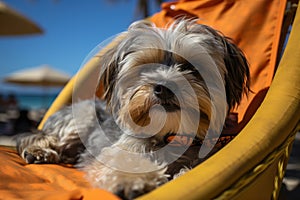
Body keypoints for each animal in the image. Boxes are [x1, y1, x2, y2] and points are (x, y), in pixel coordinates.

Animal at [14, 19, 248, 200]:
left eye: (191, 67)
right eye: (146, 68)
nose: (164, 87)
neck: (169, 135)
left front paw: (182, 174)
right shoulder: (120, 149)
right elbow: (124, 162)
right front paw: (134, 181)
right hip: (82, 116)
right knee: (42, 138)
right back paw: (40, 152)